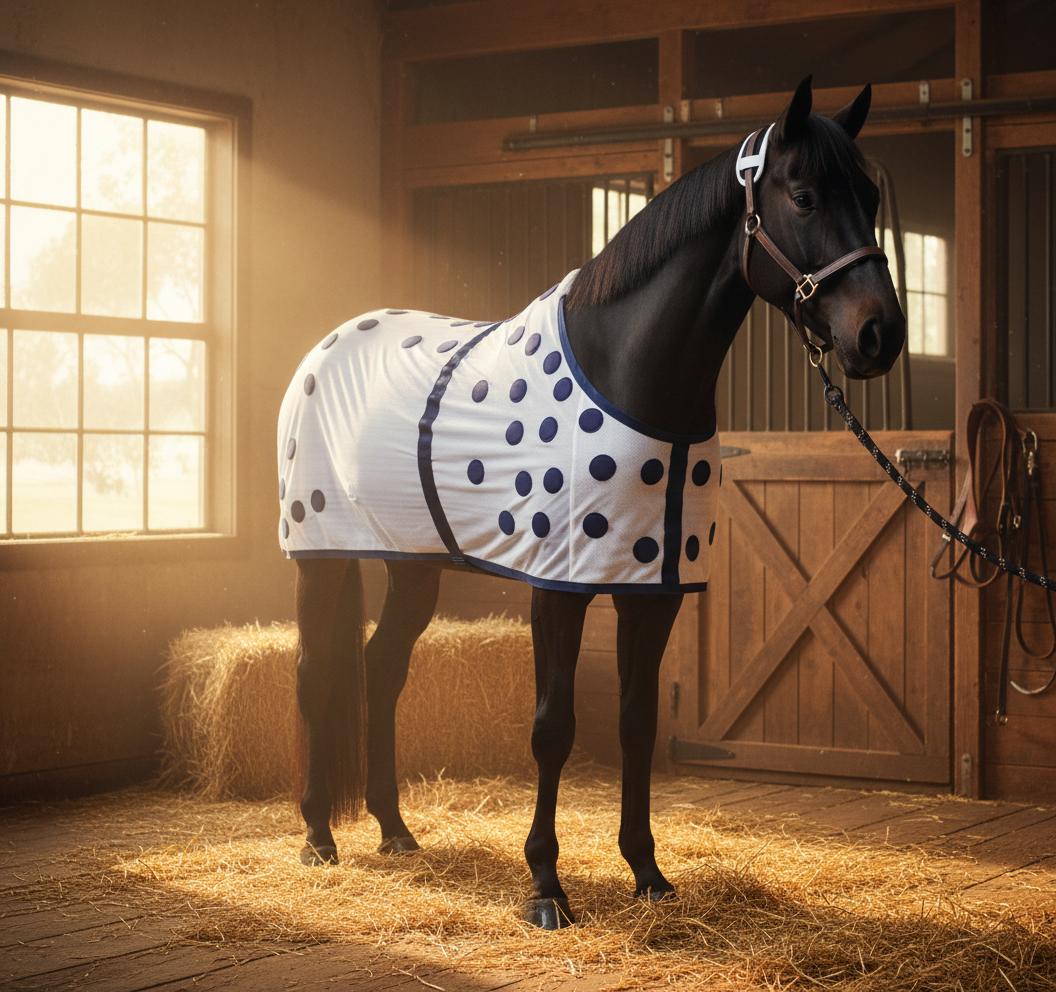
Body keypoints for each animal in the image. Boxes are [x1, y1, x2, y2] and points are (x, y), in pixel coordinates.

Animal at [277, 75, 905, 931]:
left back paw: (395, 830)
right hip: (322, 557)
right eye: (804, 196)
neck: (628, 371)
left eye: (871, 196)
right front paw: (546, 886)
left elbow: (637, 722)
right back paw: (319, 838)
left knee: (383, 667)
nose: (882, 335)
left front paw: (648, 873)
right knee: (317, 674)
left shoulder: (656, 590)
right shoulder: (560, 587)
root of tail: (329, 342)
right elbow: (554, 727)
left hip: (415, 563)